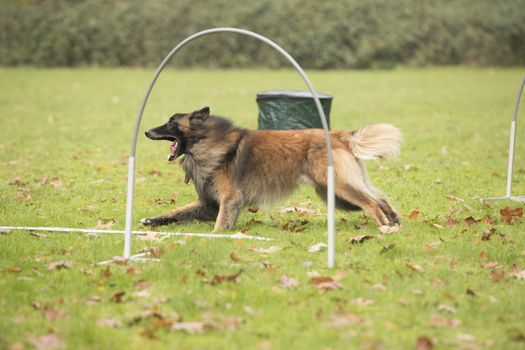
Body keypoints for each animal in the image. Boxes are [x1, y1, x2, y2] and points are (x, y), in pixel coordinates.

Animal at [139, 106, 402, 232]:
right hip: (336, 193)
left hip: (339, 186)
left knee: (371, 202)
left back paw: (384, 228)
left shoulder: (229, 199)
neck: (208, 141)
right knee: (379, 198)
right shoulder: (210, 203)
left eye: (172, 122)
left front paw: (215, 236)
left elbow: (220, 223)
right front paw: (151, 220)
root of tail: (338, 135)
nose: (146, 132)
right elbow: (177, 212)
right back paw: (395, 220)